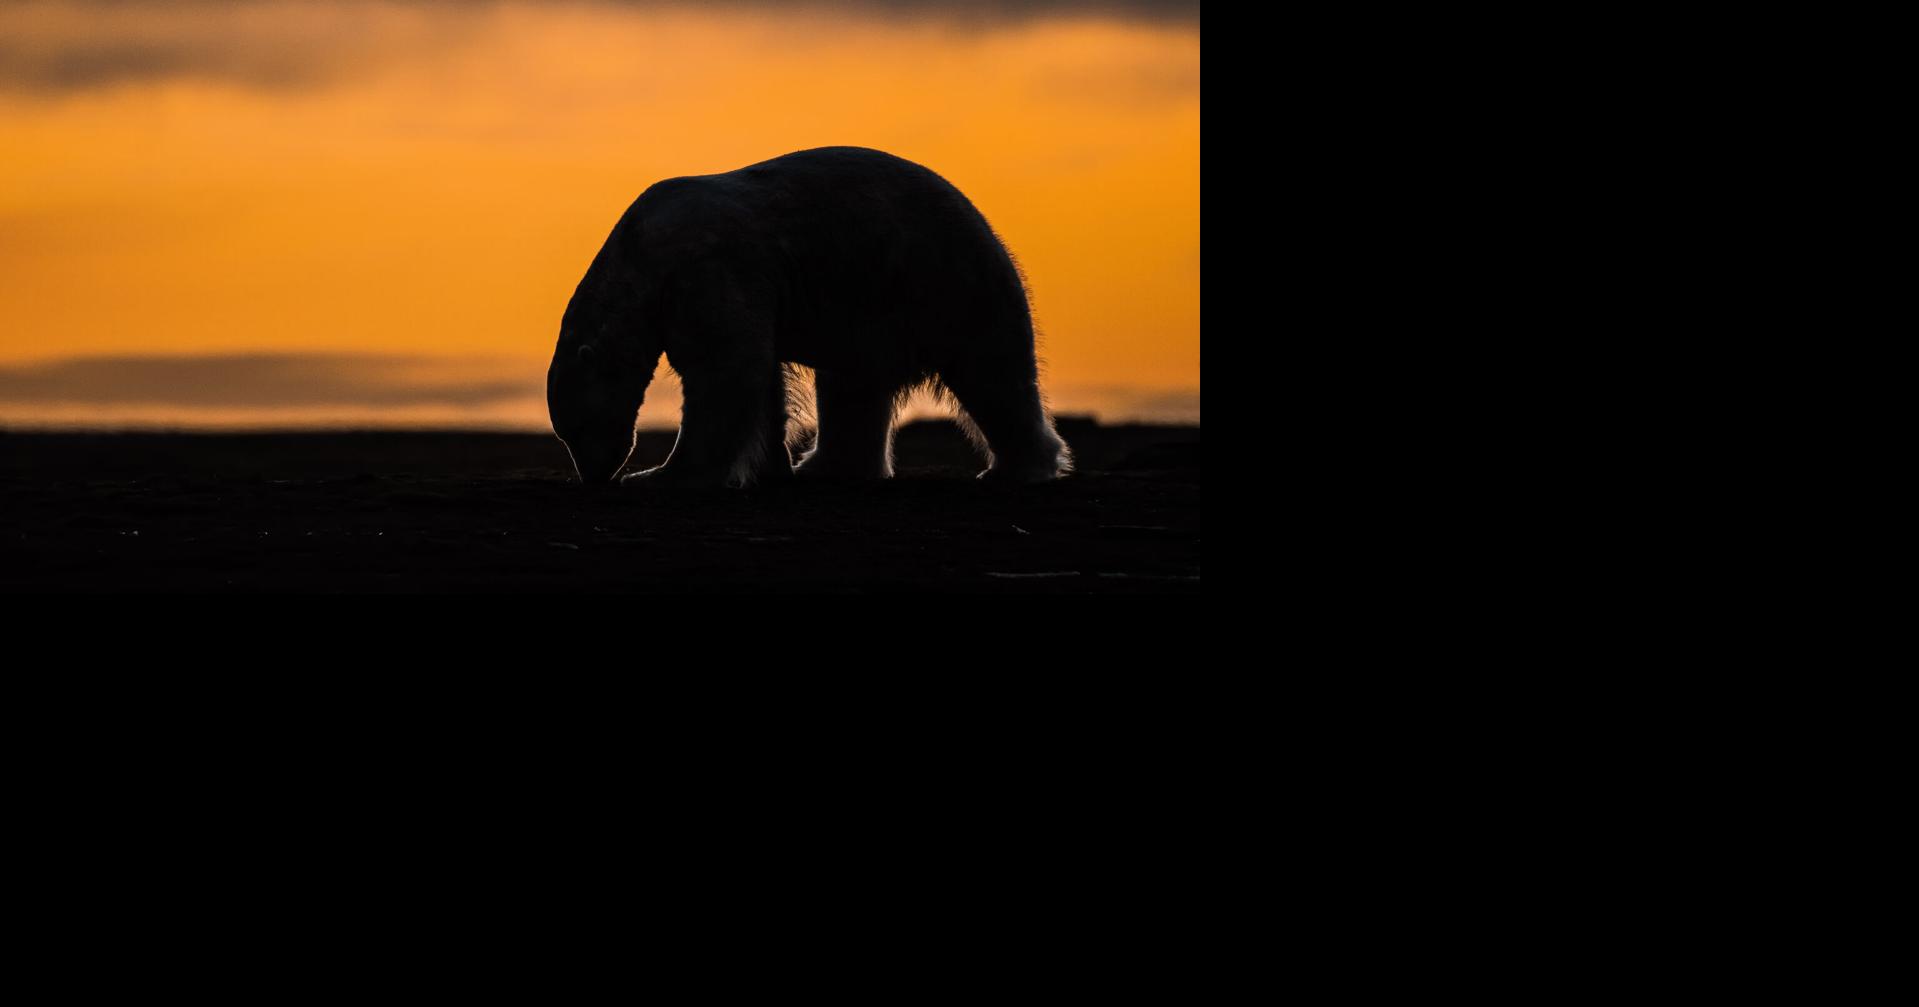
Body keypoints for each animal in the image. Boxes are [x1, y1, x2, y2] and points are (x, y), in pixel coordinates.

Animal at [546, 146, 1073, 487]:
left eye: (578, 427)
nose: (593, 474)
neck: (641, 256)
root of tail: (982, 221)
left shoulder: (706, 268)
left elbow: (723, 370)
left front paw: (659, 473)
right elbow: (761, 378)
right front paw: (770, 465)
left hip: (944, 281)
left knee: (991, 371)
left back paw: (1016, 467)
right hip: (867, 309)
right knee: (852, 389)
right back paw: (825, 466)